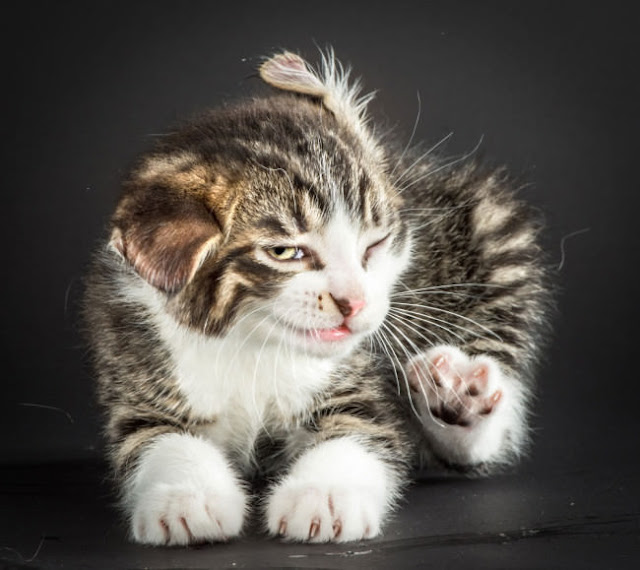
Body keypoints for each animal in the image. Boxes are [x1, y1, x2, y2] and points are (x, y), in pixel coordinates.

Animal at [81, 51, 552, 544]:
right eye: (285, 252)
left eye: (375, 244)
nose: (355, 303)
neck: (251, 343)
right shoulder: (133, 361)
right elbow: (155, 438)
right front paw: (185, 496)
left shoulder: (362, 379)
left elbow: (360, 426)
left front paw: (325, 496)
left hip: (495, 233)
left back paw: (458, 402)